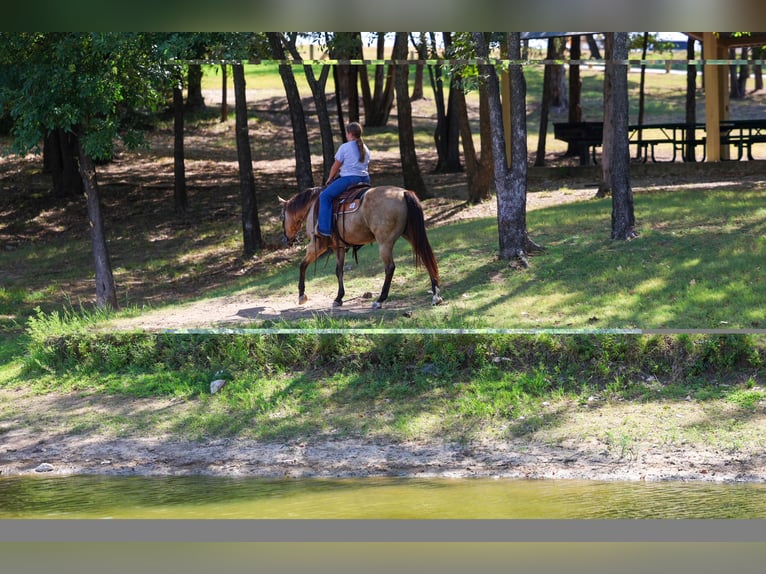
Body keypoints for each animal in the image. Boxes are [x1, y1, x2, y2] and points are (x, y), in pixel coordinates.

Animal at [279, 185, 443, 309]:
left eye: (281, 217)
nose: (286, 239)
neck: (313, 206)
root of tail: (403, 192)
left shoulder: (317, 245)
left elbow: (302, 265)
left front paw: (301, 295)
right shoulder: (338, 248)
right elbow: (339, 271)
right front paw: (338, 298)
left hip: (385, 242)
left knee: (390, 267)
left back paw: (380, 300)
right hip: (411, 235)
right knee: (426, 257)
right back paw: (436, 295)